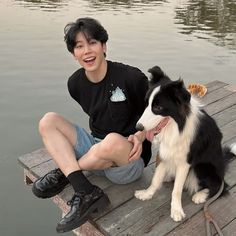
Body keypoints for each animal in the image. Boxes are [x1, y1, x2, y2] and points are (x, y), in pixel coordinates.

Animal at [135, 66, 236, 221]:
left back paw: (200, 195)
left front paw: (176, 210)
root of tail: (222, 166)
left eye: (158, 108)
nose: (138, 127)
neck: (176, 127)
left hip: (202, 167)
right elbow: (155, 179)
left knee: (220, 186)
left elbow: (176, 190)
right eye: (146, 104)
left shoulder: (185, 163)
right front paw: (147, 194)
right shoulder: (165, 153)